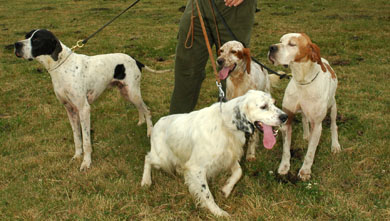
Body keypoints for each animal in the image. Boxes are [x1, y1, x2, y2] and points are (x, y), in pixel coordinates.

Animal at [14, 28, 168, 171]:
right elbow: (77, 137)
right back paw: (141, 121)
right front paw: (77, 156)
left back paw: (149, 131)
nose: (16, 45)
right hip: (126, 93)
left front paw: (86, 163)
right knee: (140, 108)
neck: (62, 67)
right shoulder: (70, 110)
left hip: (132, 93)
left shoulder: (84, 109)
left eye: (36, 39)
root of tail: (135, 60)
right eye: (26, 36)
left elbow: (86, 141)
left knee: (147, 109)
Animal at [140, 90, 286, 218]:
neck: (226, 125)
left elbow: (239, 172)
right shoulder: (197, 168)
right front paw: (218, 212)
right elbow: (207, 194)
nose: (285, 117)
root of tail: (157, 124)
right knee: (147, 158)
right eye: (263, 106)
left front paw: (226, 189)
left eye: (274, 103)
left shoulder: (228, 157)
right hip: (162, 159)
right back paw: (146, 181)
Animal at [268, 33, 342, 181]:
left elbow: (310, 152)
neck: (302, 81)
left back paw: (335, 145)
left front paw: (305, 171)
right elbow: (286, 150)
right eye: (280, 41)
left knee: (333, 125)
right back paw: (306, 135)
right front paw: (284, 167)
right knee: (304, 118)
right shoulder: (287, 120)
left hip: (333, 107)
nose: (271, 47)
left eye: (292, 44)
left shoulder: (317, 125)